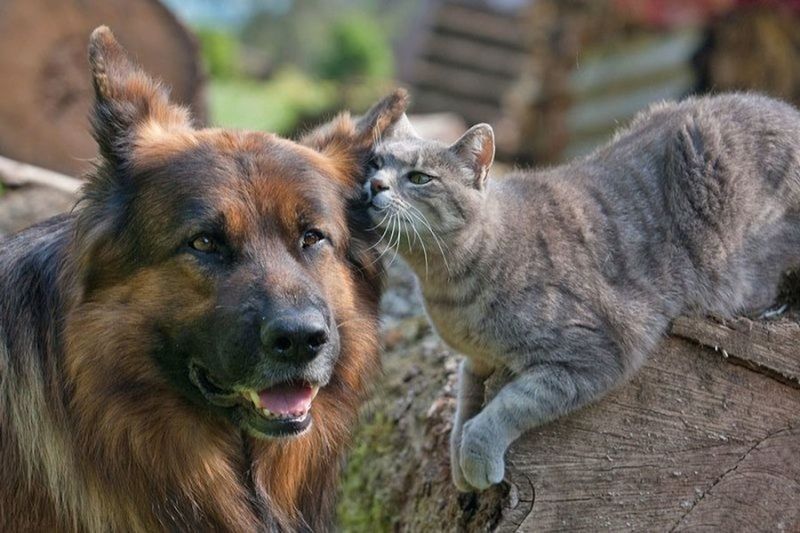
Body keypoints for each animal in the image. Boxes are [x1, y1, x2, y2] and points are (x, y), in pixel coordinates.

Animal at [362, 93, 800, 492]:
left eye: (419, 178)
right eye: (375, 165)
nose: (374, 185)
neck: (446, 285)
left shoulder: (593, 354)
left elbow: (509, 405)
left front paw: (477, 456)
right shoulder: (477, 359)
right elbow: (464, 404)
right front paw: (457, 463)